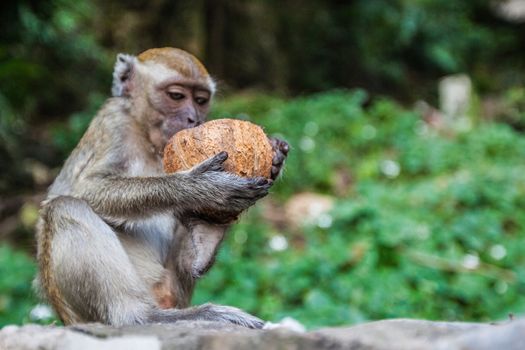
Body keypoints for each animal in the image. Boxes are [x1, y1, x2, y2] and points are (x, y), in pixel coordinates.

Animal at [34, 47, 288, 330]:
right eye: (176, 96)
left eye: (201, 100)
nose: (193, 118)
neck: (149, 139)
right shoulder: (114, 123)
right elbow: (85, 189)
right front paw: (199, 187)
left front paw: (276, 158)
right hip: (81, 314)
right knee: (65, 207)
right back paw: (142, 317)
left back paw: (207, 234)